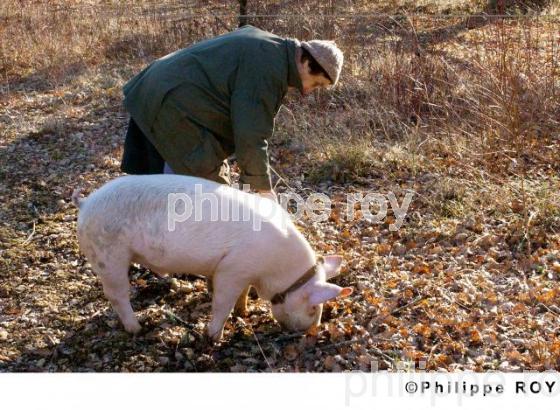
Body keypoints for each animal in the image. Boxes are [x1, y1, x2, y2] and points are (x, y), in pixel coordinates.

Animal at [72, 175, 352, 342]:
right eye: (313, 307)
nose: (310, 331)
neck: (276, 269)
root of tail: (85, 203)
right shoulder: (231, 269)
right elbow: (221, 303)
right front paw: (213, 337)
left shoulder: (244, 273)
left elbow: (241, 295)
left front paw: (244, 312)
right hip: (108, 256)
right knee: (117, 295)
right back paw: (137, 329)